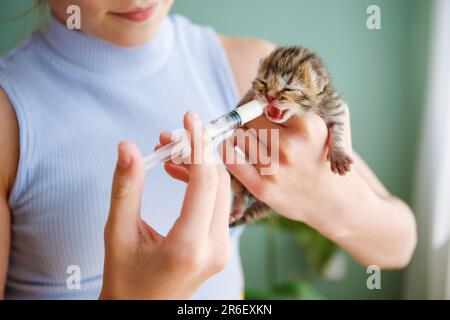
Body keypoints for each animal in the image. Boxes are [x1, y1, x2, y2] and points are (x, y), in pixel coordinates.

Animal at [230, 45, 354, 228]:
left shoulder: (334, 106)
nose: (269, 97)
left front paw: (338, 153)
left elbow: (337, 129)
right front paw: (242, 104)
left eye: (288, 89)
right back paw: (238, 204)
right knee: (239, 192)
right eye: (263, 82)